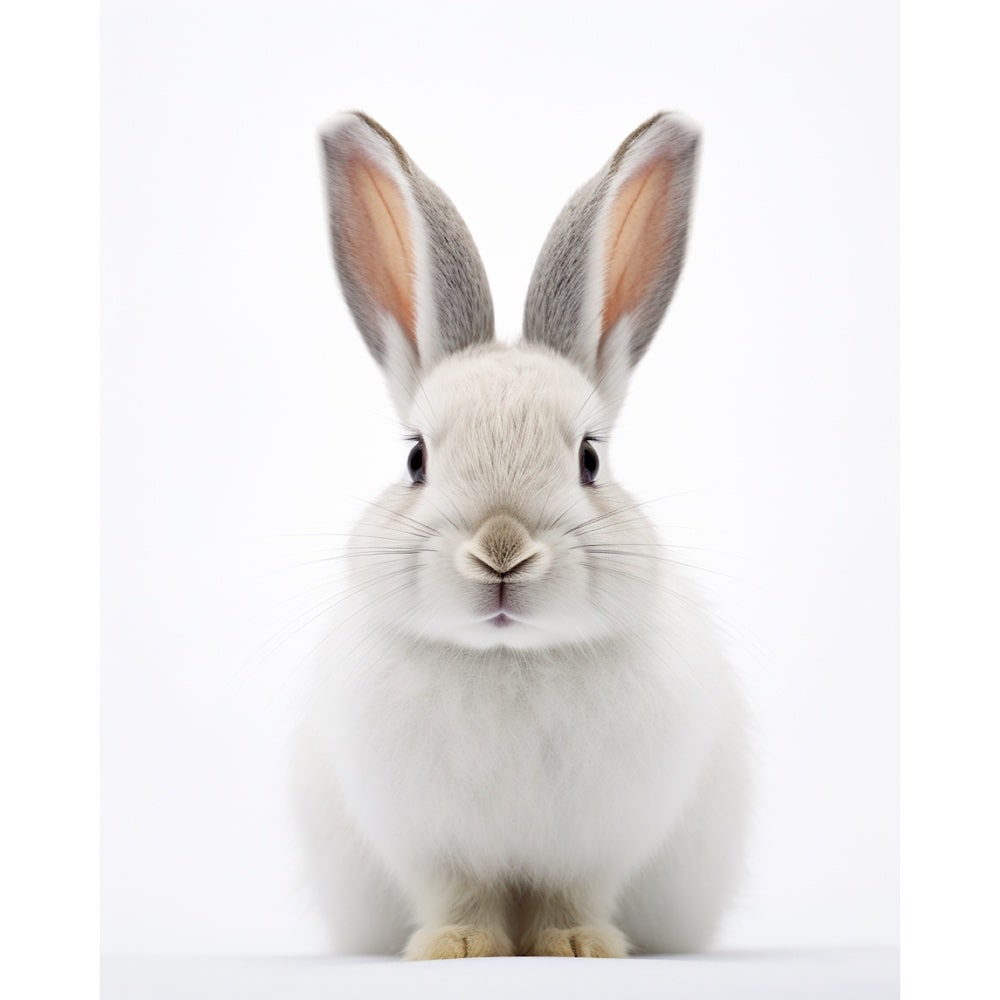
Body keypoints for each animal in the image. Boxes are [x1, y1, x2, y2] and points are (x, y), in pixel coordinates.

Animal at [291, 111, 751, 960]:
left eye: (590, 460)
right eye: (416, 459)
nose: (500, 551)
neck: (505, 659)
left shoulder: (596, 844)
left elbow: (571, 894)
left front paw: (576, 946)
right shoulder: (430, 845)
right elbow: (460, 895)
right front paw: (456, 948)